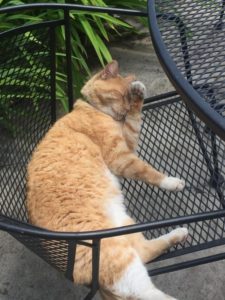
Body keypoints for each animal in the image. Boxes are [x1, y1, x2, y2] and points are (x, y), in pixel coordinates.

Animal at [26, 59, 188, 298]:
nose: (124, 110)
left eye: (127, 99)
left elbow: (134, 120)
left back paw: (179, 234)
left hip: (124, 223)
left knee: (144, 252)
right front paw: (171, 182)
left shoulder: (127, 142)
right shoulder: (121, 158)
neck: (91, 109)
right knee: (147, 286)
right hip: (119, 255)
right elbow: (149, 172)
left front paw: (138, 95)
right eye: (121, 95)